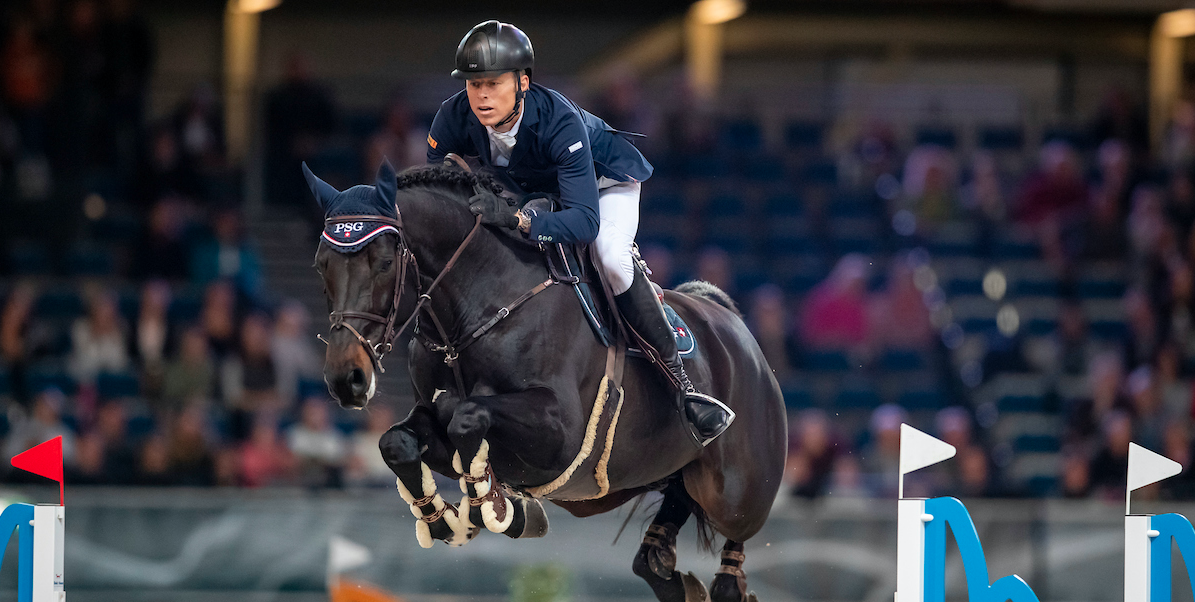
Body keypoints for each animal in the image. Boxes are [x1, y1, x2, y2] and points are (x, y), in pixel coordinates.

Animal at [313, 162, 788, 602]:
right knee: (664, 530)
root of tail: (735, 326)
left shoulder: (561, 434)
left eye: (384, 263)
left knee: (732, 546)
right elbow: (398, 440)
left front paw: (492, 502)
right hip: (674, 472)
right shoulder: (432, 420)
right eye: (322, 266)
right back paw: (672, 575)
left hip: (737, 493)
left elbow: (467, 413)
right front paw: (449, 519)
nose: (346, 380)